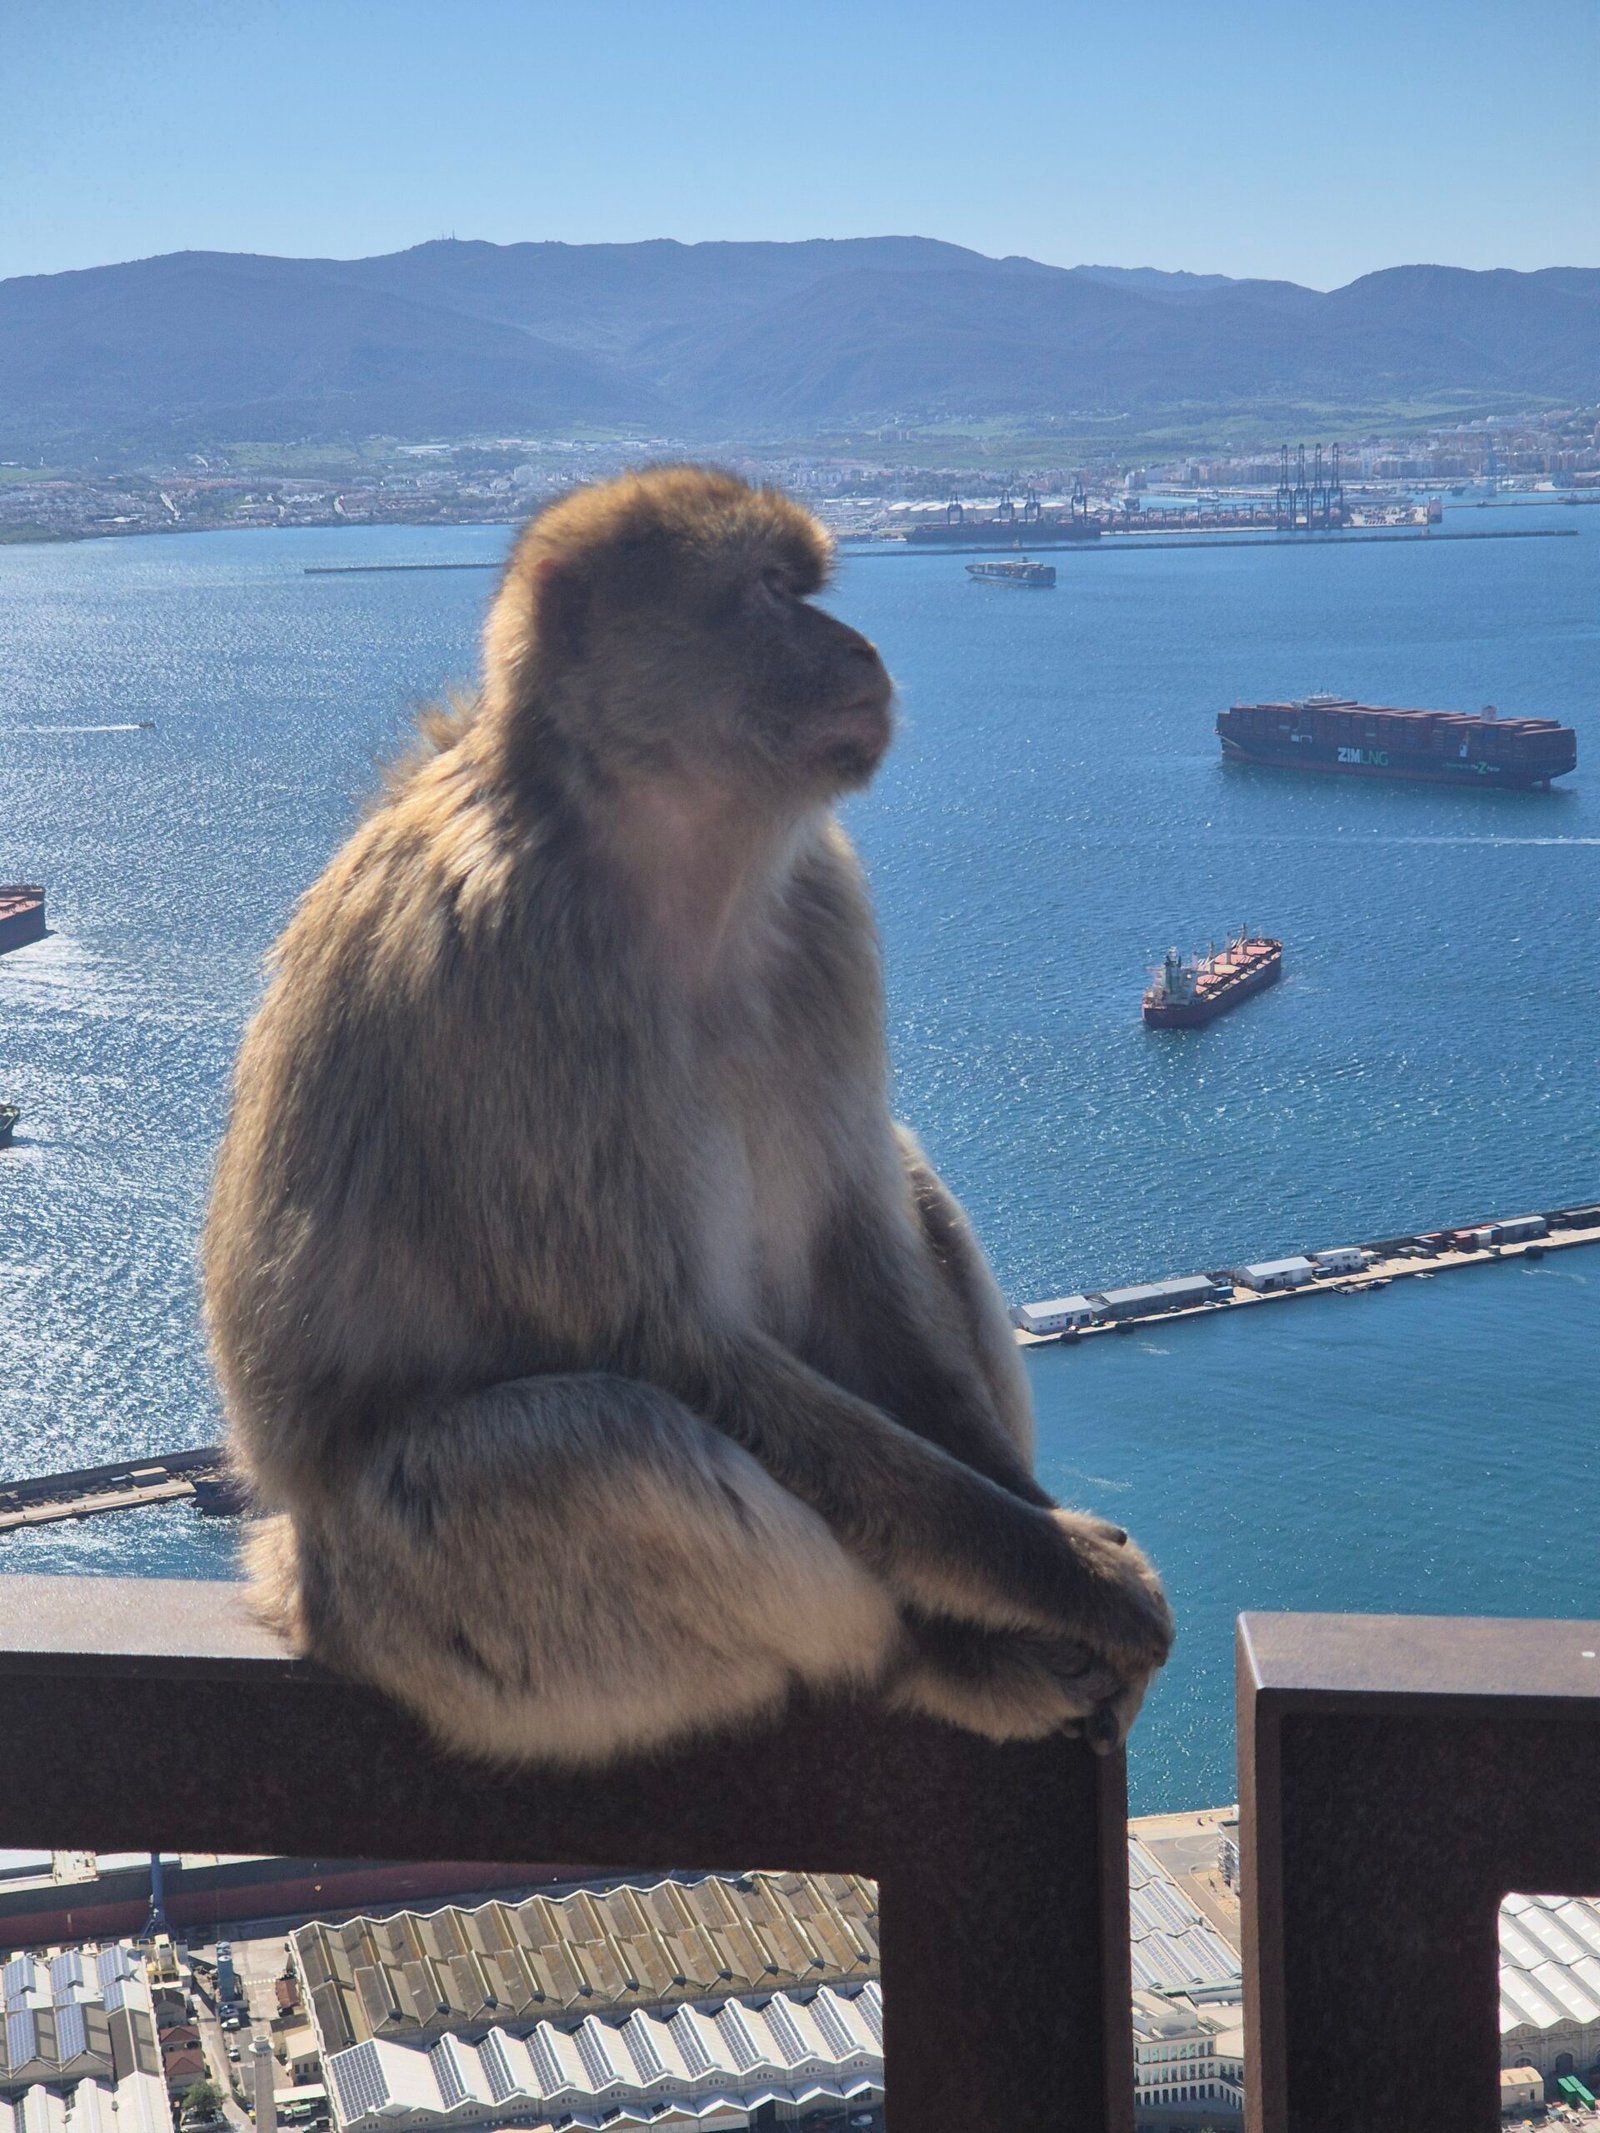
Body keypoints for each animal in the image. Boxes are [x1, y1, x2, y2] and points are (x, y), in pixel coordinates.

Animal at [202, 466, 1172, 1769]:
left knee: (894, 1183)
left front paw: (1034, 1524)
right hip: (436, 1627)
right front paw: (1065, 1575)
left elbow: (860, 1251)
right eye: (765, 592)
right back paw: (929, 1657)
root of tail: (289, 1578)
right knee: (597, 1445)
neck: (672, 869)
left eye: (805, 586)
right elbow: (664, 1346)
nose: (859, 647)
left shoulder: (822, 908)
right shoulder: (529, 970)